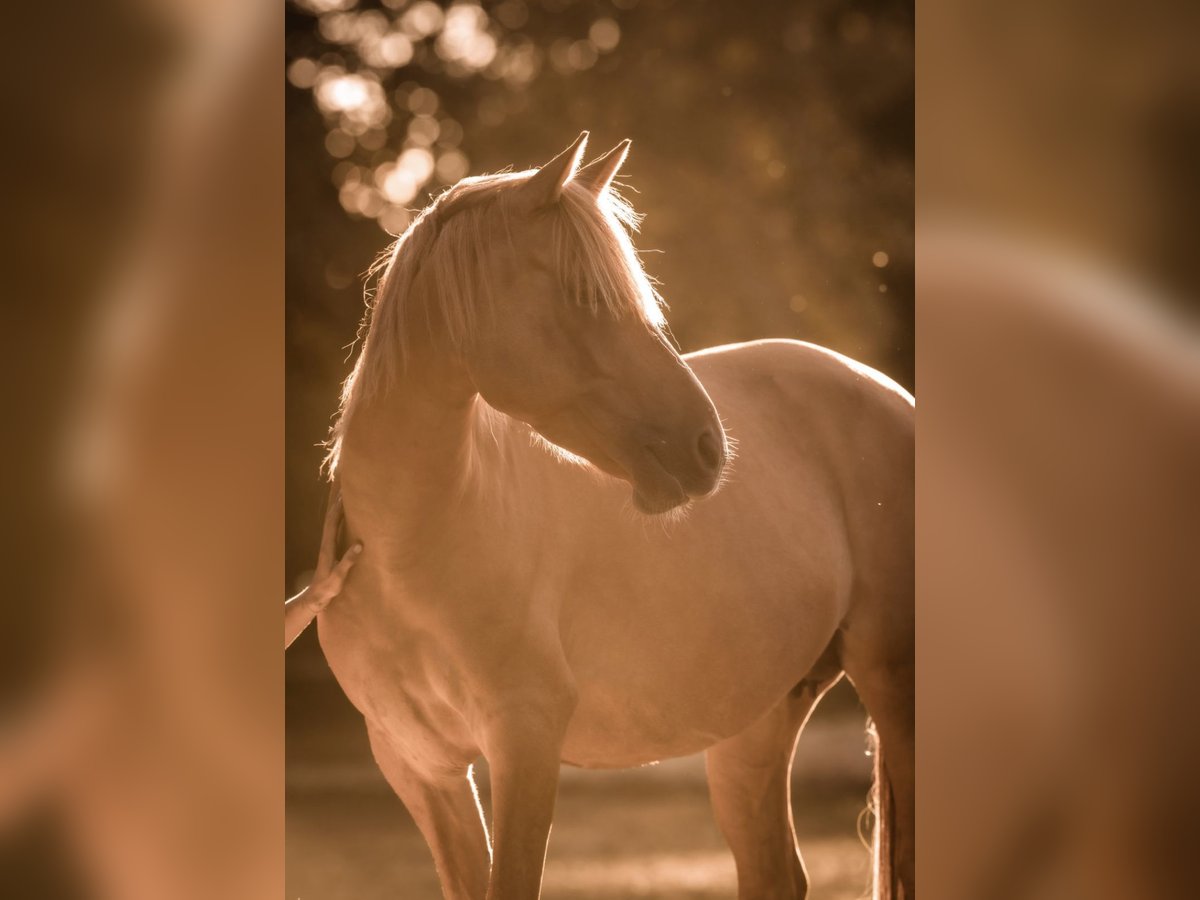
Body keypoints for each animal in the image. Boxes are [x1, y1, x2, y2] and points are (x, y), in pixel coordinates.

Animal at [314, 133, 912, 900]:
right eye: (584, 296)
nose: (707, 446)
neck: (407, 548)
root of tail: (890, 394)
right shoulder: (423, 768)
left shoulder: (525, 742)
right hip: (757, 722)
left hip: (893, 685)